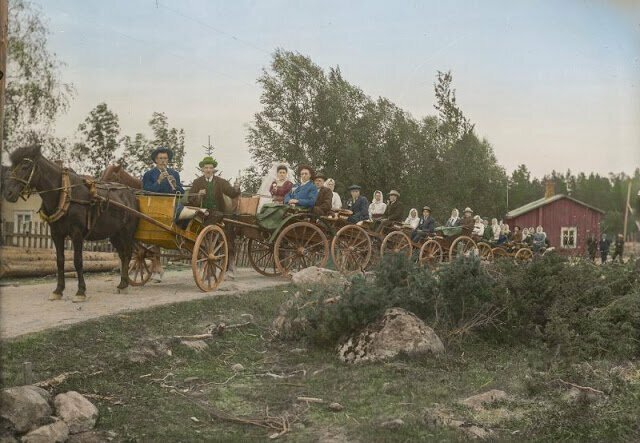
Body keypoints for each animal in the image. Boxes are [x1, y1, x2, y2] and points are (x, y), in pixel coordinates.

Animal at [3, 147, 139, 304]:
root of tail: (131, 194)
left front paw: (80, 292)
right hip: (114, 235)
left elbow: (78, 261)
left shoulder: (77, 233)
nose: (8, 193)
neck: (65, 194)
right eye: (11, 167)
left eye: (25, 166)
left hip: (126, 233)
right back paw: (122, 283)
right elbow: (60, 261)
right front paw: (58, 291)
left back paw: (125, 284)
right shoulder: (56, 234)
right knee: (122, 255)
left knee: (128, 254)